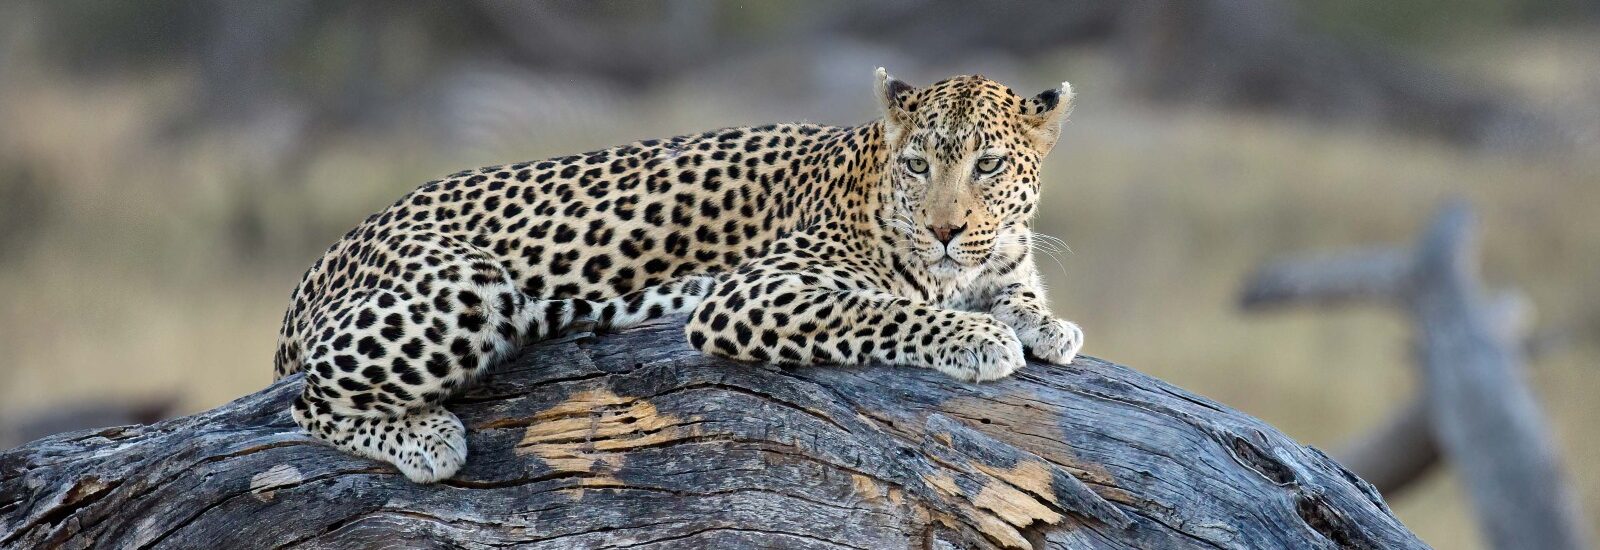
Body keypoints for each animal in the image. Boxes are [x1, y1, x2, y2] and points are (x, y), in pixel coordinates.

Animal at [273, 68, 1085, 483]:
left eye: (989, 163)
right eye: (919, 164)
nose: (945, 229)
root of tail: (326, 256)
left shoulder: (1000, 260)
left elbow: (1018, 292)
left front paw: (1045, 324)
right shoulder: (751, 292)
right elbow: (884, 309)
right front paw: (977, 338)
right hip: (465, 291)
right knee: (307, 399)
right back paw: (428, 439)